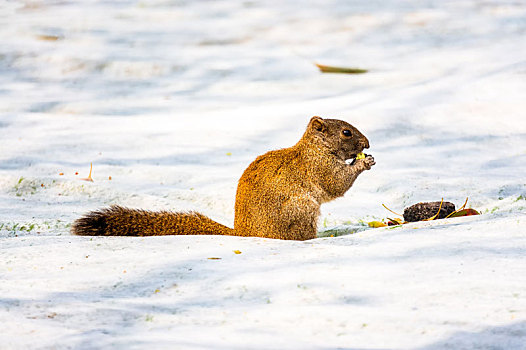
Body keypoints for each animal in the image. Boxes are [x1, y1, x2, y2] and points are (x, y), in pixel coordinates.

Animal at [72, 117, 378, 241]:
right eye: (346, 132)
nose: (367, 143)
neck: (314, 148)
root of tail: (243, 233)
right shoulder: (318, 168)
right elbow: (336, 183)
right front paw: (364, 163)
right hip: (301, 210)